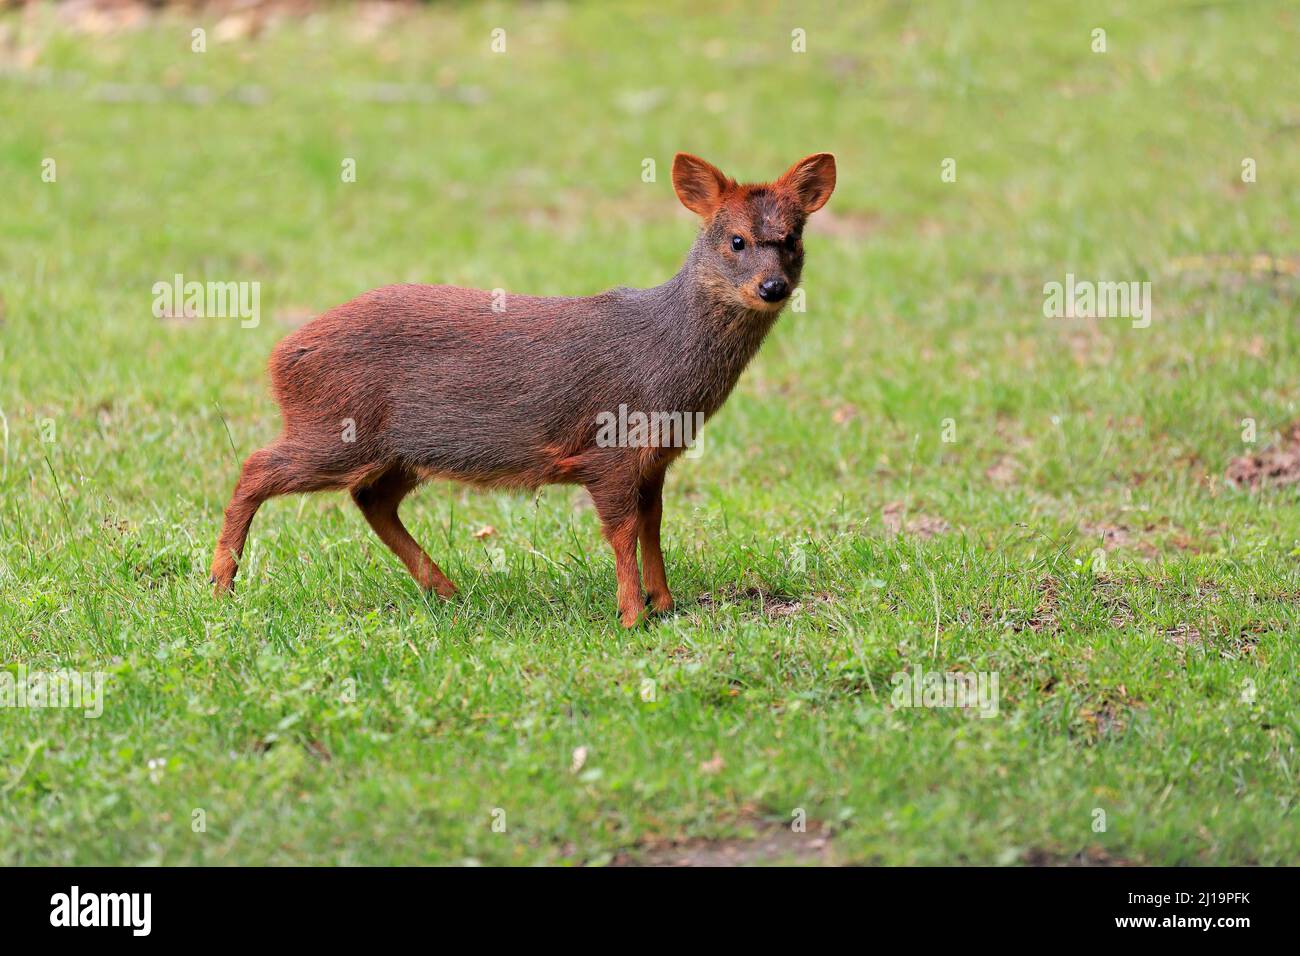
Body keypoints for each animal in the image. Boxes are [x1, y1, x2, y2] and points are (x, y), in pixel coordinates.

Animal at [208, 150, 837, 629]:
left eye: (792, 238)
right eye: (736, 240)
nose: (774, 287)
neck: (665, 359)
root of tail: (279, 356)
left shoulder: (655, 458)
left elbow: (654, 524)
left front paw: (664, 603)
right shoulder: (609, 448)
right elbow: (621, 530)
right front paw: (632, 616)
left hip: (398, 450)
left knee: (370, 500)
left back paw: (445, 589)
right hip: (336, 427)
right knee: (256, 466)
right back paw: (220, 583)